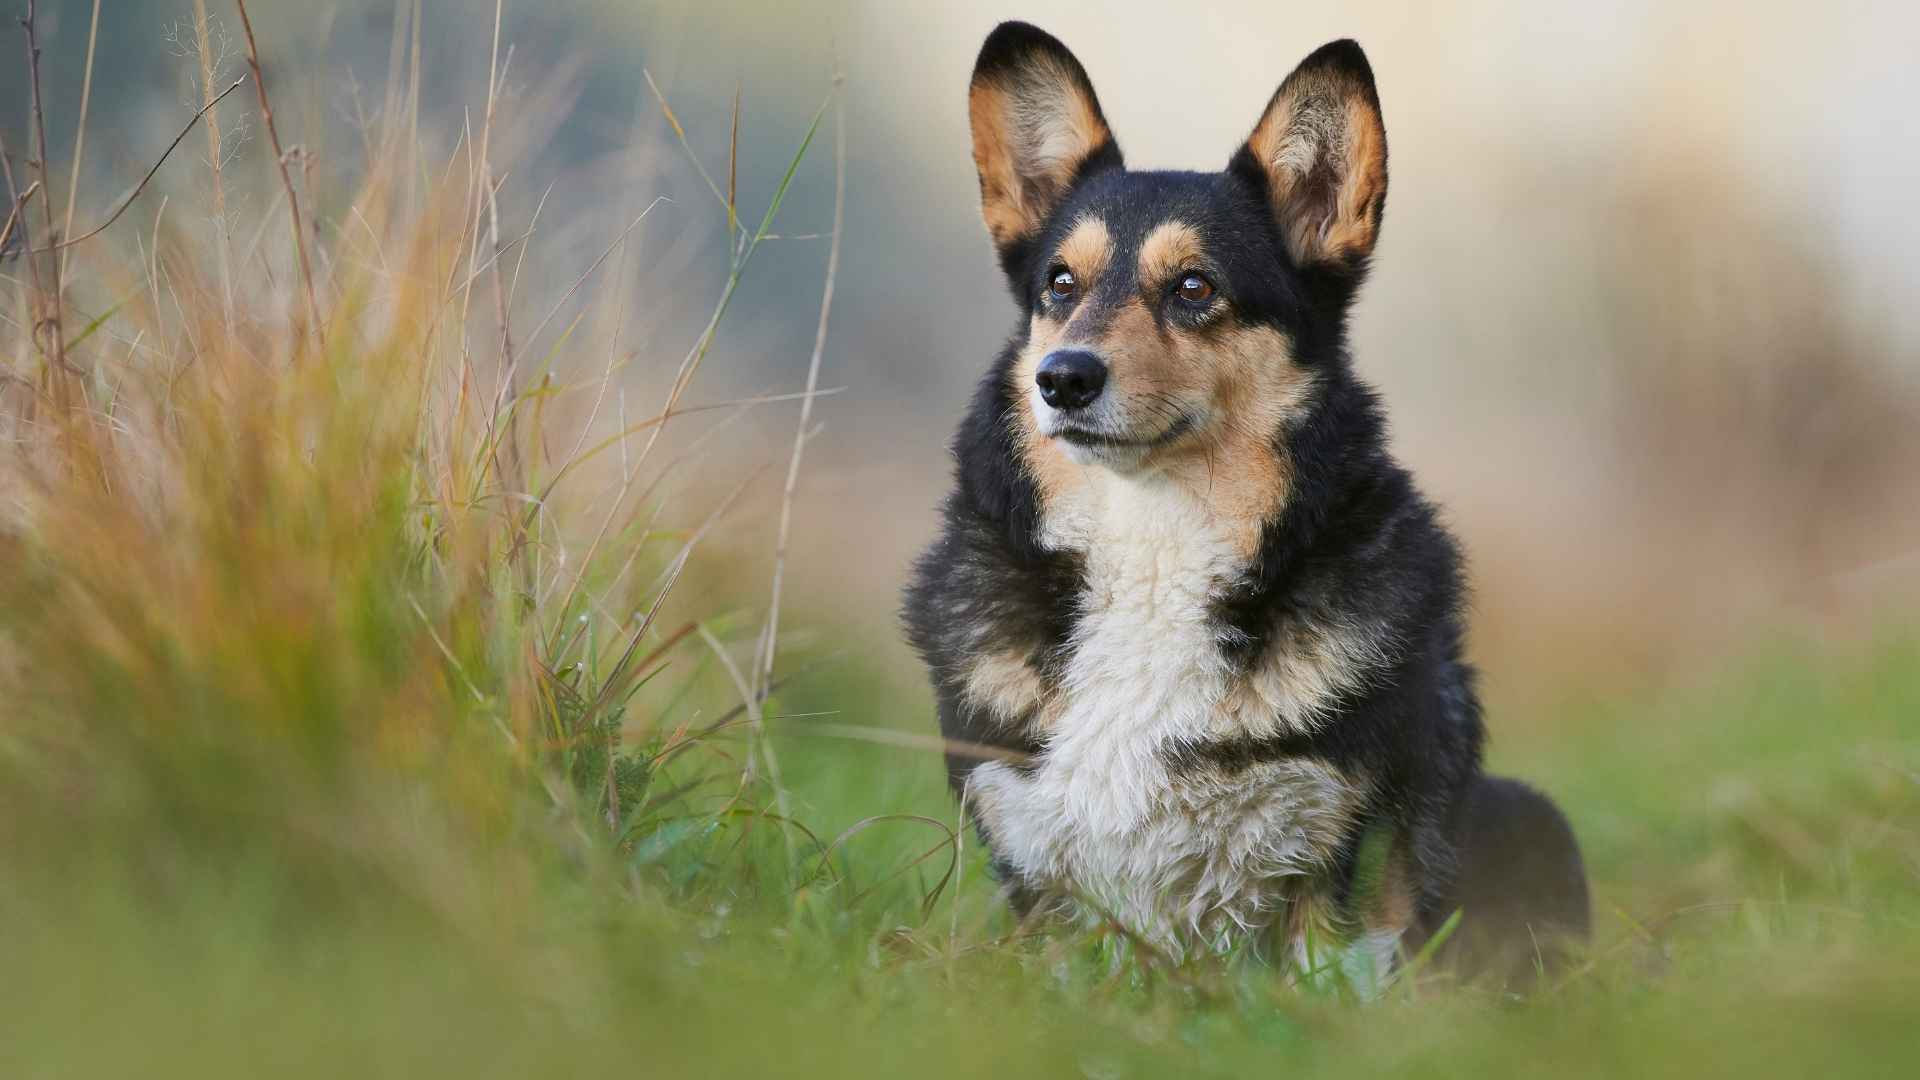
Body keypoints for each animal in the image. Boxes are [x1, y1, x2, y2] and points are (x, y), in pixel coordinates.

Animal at [902, 23, 1589, 983]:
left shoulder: (1338, 855)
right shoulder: (1039, 872)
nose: (1062, 380)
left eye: (1195, 287)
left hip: (1531, 816)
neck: (1153, 547)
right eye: (1060, 285)